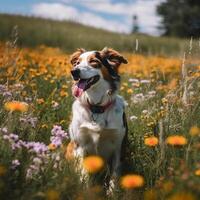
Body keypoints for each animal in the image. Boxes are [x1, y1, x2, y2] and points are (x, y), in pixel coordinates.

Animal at [67, 47, 128, 186]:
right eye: (77, 63)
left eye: (94, 62)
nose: (74, 72)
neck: (96, 107)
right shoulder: (80, 144)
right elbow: (84, 175)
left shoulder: (118, 146)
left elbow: (114, 176)